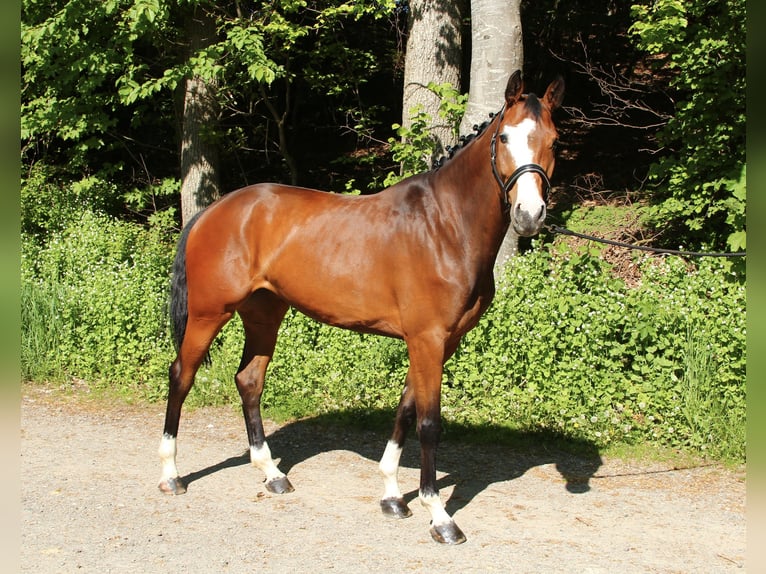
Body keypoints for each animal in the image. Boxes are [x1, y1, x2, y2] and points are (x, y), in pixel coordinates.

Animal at [158, 70, 564, 548]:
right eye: (503, 137)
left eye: (554, 140)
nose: (530, 215)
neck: (445, 226)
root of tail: (213, 211)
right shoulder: (427, 340)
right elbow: (429, 423)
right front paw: (439, 516)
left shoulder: (437, 343)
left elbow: (406, 409)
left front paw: (392, 497)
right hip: (208, 314)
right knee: (181, 376)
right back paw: (171, 475)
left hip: (264, 313)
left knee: (249, 381)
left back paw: (272, 473)